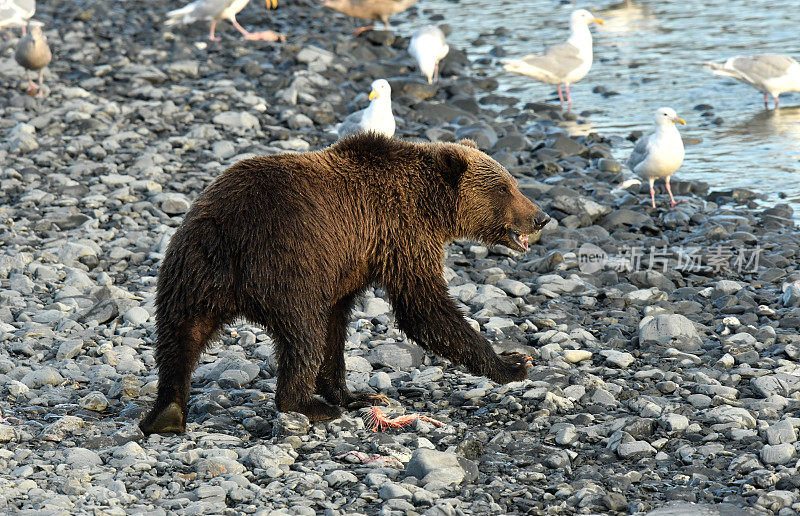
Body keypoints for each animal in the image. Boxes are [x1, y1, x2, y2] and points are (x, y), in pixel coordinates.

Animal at [139, 131, 552, 434]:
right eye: (505, 188)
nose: (542, 217)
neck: (430, 205)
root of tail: (226, 237)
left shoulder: (349, 261)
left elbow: (337, 325)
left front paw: (354, 394)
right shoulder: (401, 233)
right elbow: (423, 308)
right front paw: (512, 362)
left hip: (188, 270)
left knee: (179, 336)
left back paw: (166, 412)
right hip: (284, 264)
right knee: (302, 334)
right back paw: (308, 405)